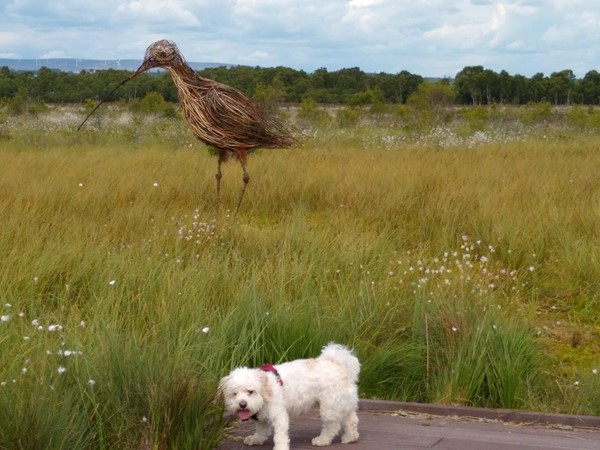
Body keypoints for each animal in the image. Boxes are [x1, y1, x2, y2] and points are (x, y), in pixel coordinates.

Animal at [218, 342, 358, 448]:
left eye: (250, 391)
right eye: (234, 394)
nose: (242, 404)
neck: (265, 391)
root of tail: (336, 364)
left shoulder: (279, 415)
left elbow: (280, 436)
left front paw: (280, 447)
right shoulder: (262, 417)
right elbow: (262, 431)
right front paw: (256, 439)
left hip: (329, 407)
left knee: (333, 425)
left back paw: (322, 440)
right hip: (340, 402)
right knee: (351, 419)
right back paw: (351, 437)